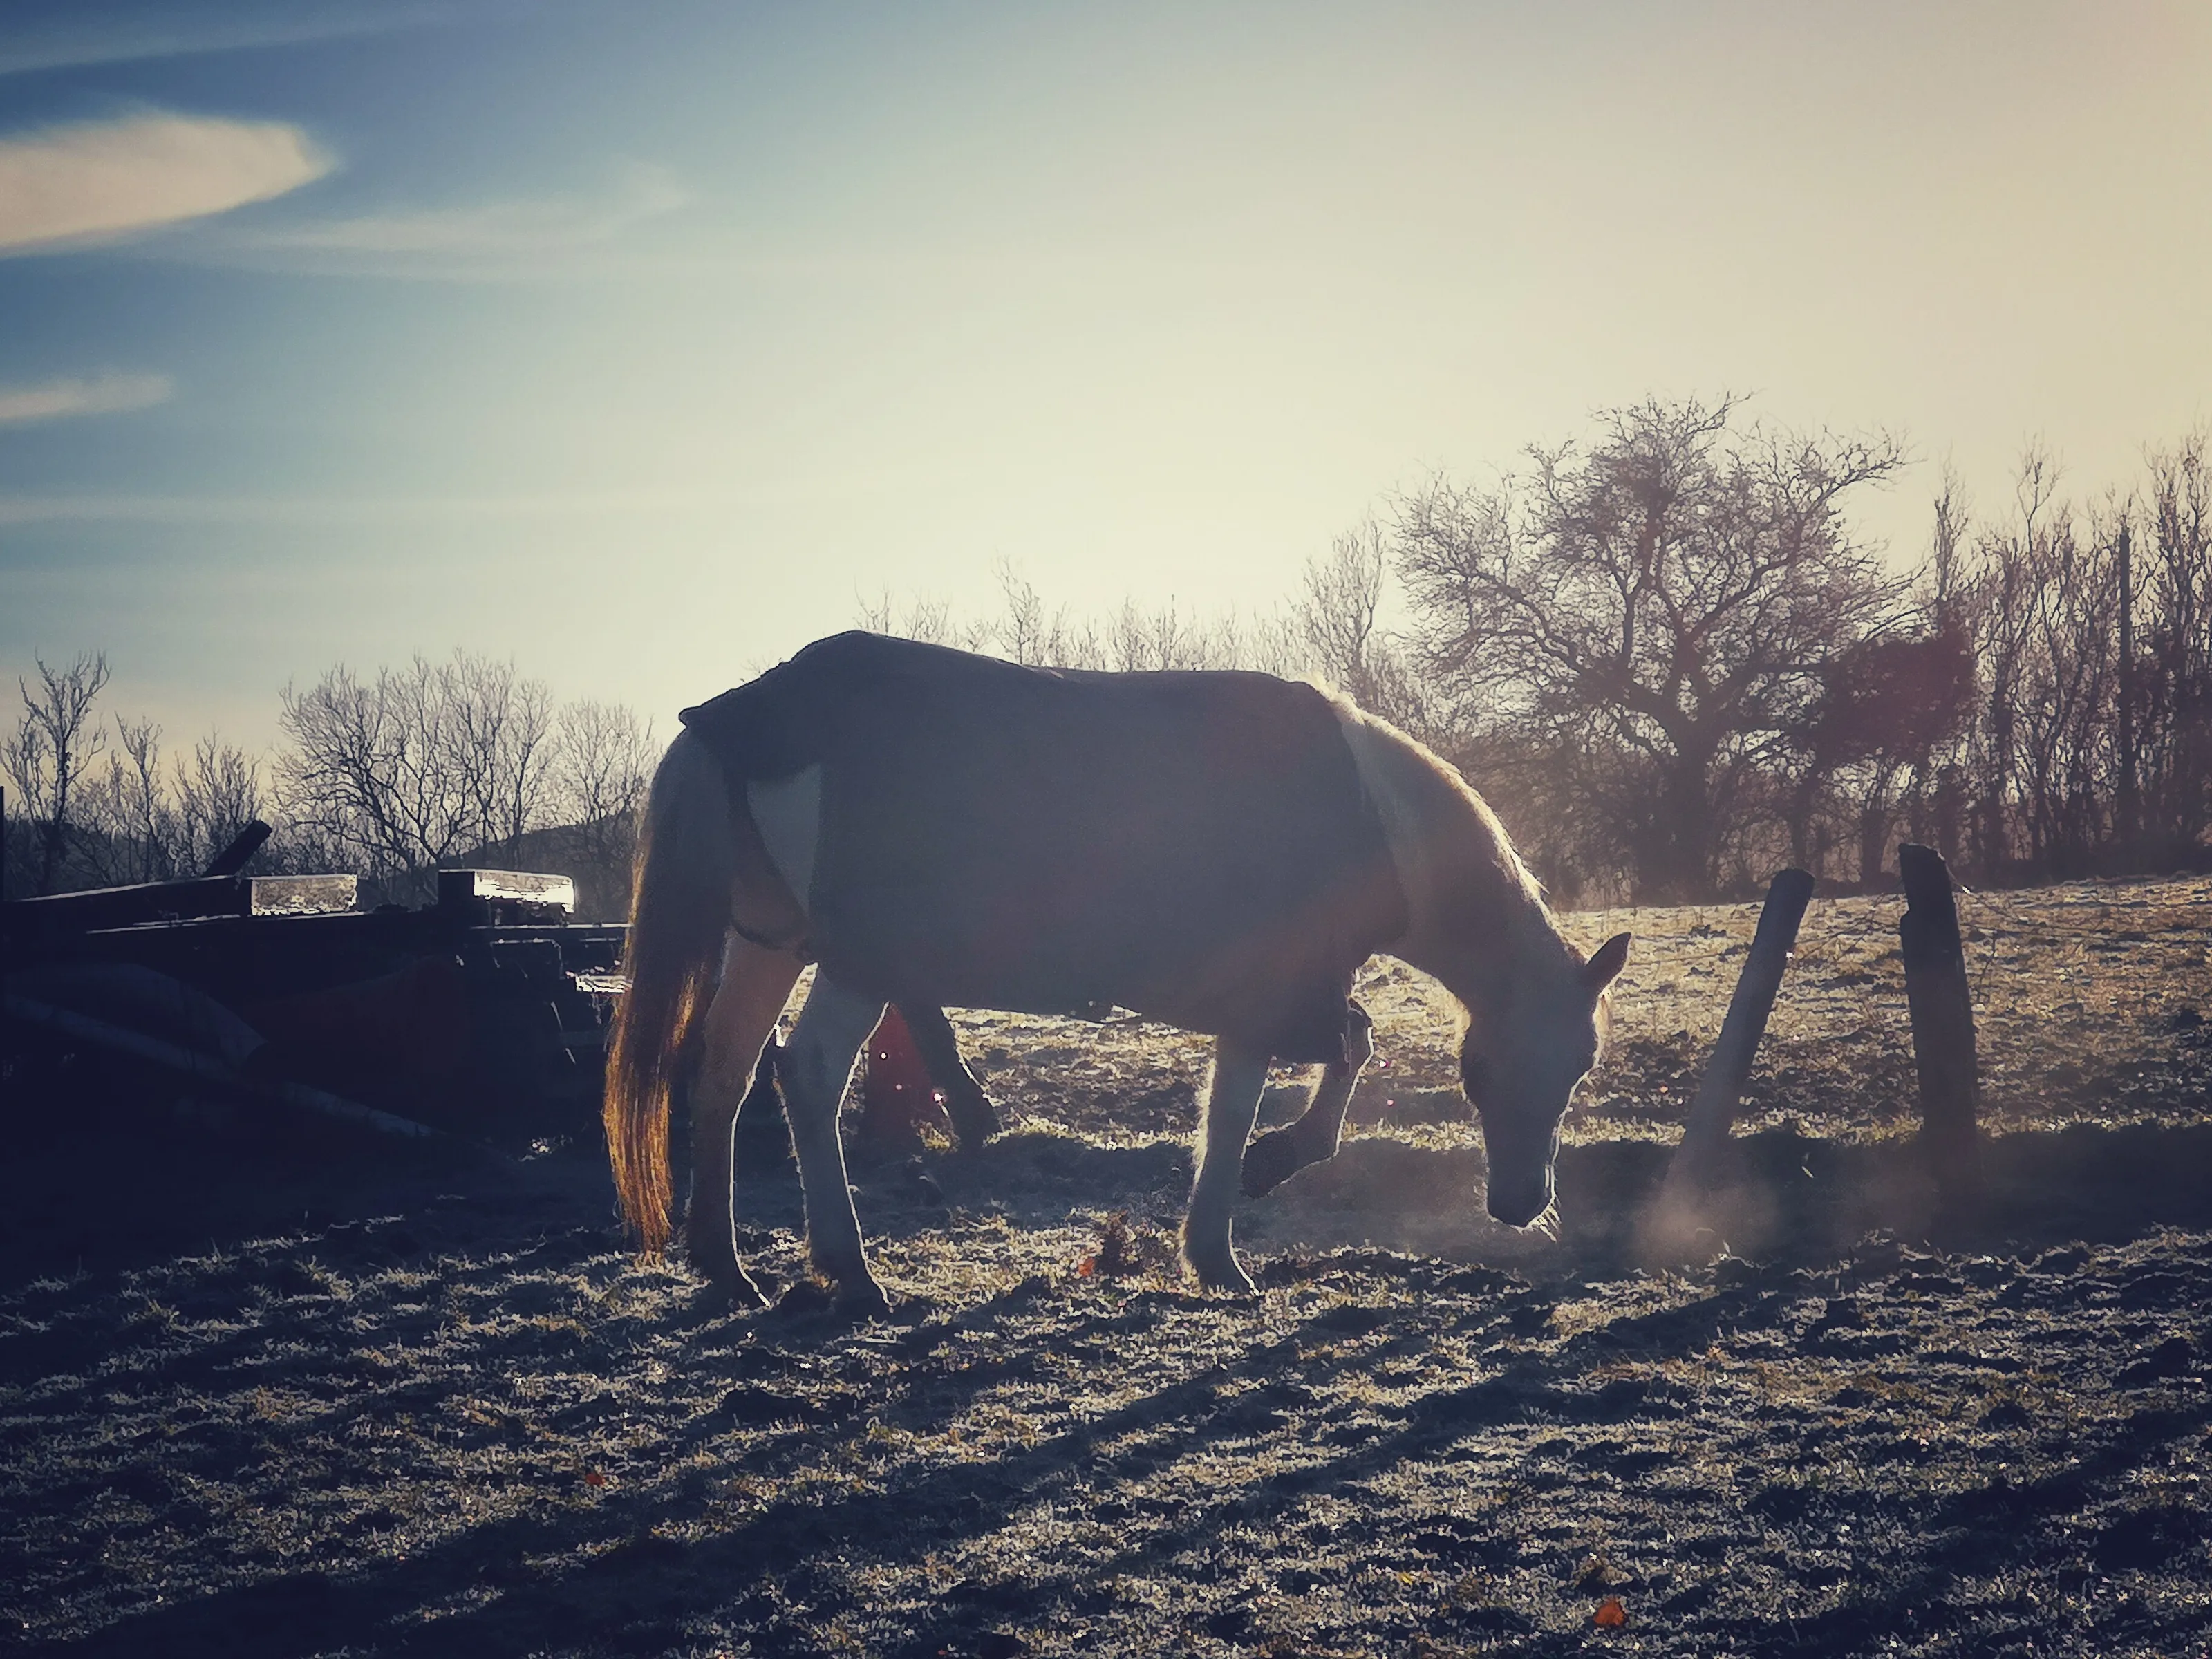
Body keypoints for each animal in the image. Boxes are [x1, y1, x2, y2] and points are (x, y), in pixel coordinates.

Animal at [605, 631, 1627, 1312]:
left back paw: (725, 1264)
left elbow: (1302, 1071)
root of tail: (742, 715)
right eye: (1489, 1070)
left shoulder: (1267, 995)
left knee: (727, 1071)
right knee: (808, 1077)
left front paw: (1230, 1223)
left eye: (1581, 1070)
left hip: (771, 948)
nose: (1519, 1204)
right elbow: (1298, 1077)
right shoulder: (1274, 990)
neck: (1371, 814)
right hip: (856, 964)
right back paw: (849, 1271)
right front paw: (1240, 1216)